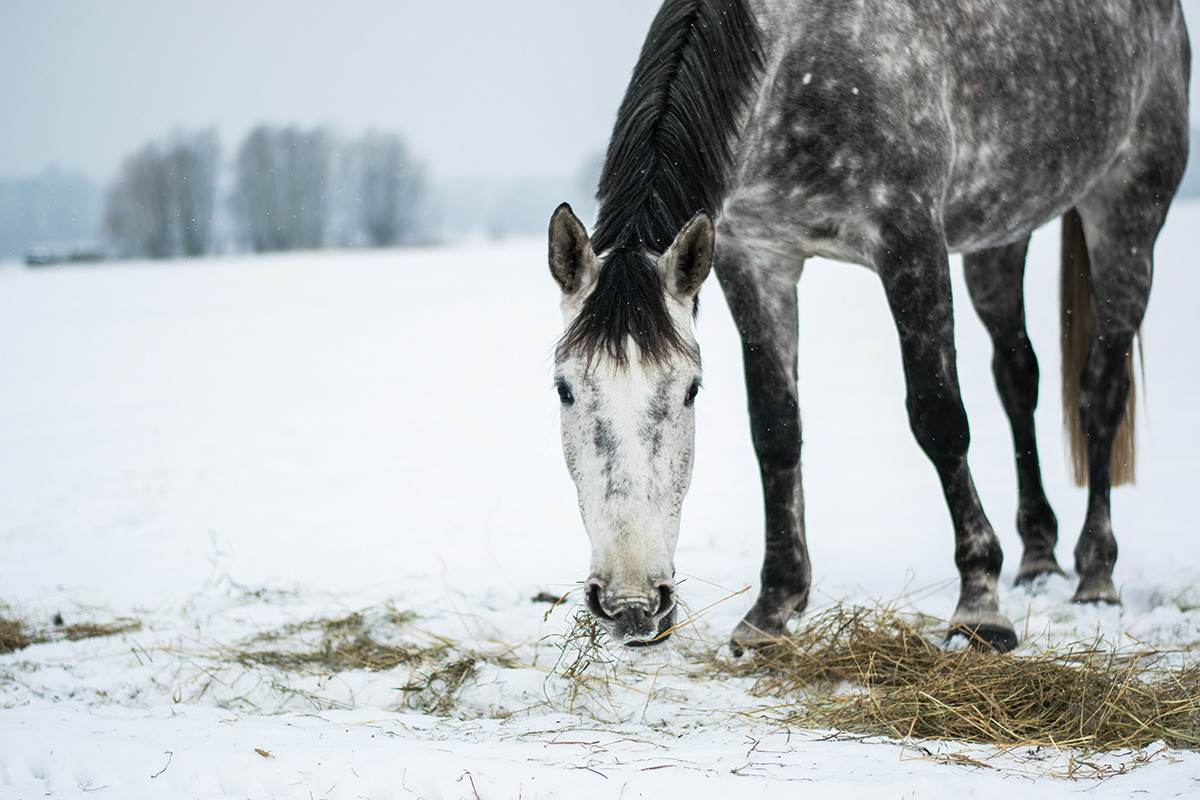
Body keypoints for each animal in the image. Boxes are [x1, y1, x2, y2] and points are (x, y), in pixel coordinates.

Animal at [544, 0, 1190, 652]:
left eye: (690, 390)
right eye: (564, 388)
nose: (631, 604)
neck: (792, 59)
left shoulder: (910, 238)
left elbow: (939, 418)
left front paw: (981, 605)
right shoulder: (756, 257)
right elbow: (775, 430)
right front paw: (772, 608)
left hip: (1130, 207)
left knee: (1100, 390)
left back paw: (1095, 574)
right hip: (1000, 232)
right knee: (1018, 378)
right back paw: (1038, 557)